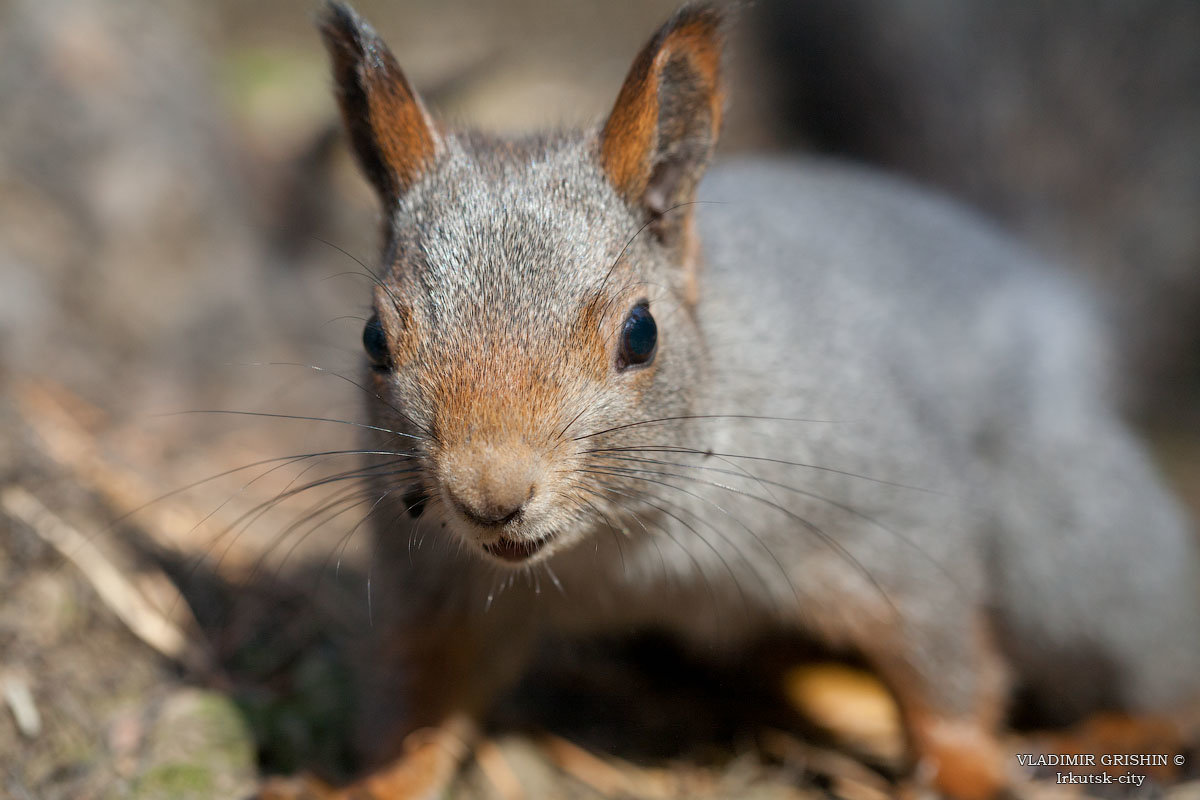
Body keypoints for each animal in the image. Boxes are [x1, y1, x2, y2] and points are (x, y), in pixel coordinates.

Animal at [260, 1, 1200, 800]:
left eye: (640, 334)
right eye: (374, 340)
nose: (490, 496)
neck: (613, 549)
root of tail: (1056, 290)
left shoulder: (894, 516)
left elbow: (942, 663)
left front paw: (970, 770)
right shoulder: (436, 582)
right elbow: (424, 703)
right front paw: (368, 785)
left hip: (1068, 543)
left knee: (1162, 653)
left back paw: (1113, 735)